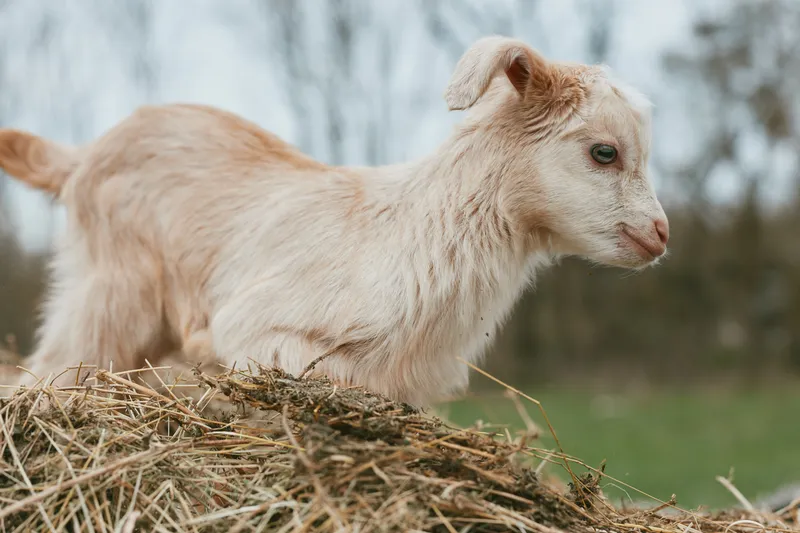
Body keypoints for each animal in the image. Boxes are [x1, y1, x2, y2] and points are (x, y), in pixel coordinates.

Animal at [0, 36, 669, 406]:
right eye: (604, 152)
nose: (661, 235)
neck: (412, 232)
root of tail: (82, 155)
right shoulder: (256, 325)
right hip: (109, 294)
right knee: (49, 370)